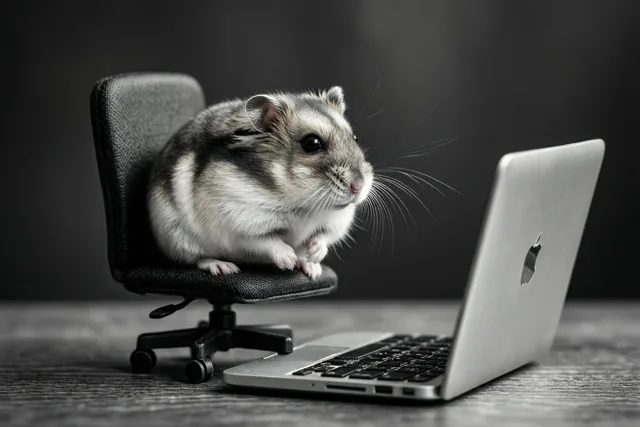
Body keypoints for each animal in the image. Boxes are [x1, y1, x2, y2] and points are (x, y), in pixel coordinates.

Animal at [147, 86, 373, 280]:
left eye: (355, 138)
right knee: (197, 258)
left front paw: (313, 258)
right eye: (312, 143)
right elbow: (265, 241)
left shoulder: (337, 221)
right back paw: (224, 267)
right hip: (178, 237)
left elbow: (323, 236)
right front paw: (289, 260)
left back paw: (310, 267)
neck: (303, 203)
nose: (358, 187)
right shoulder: (238, 223)